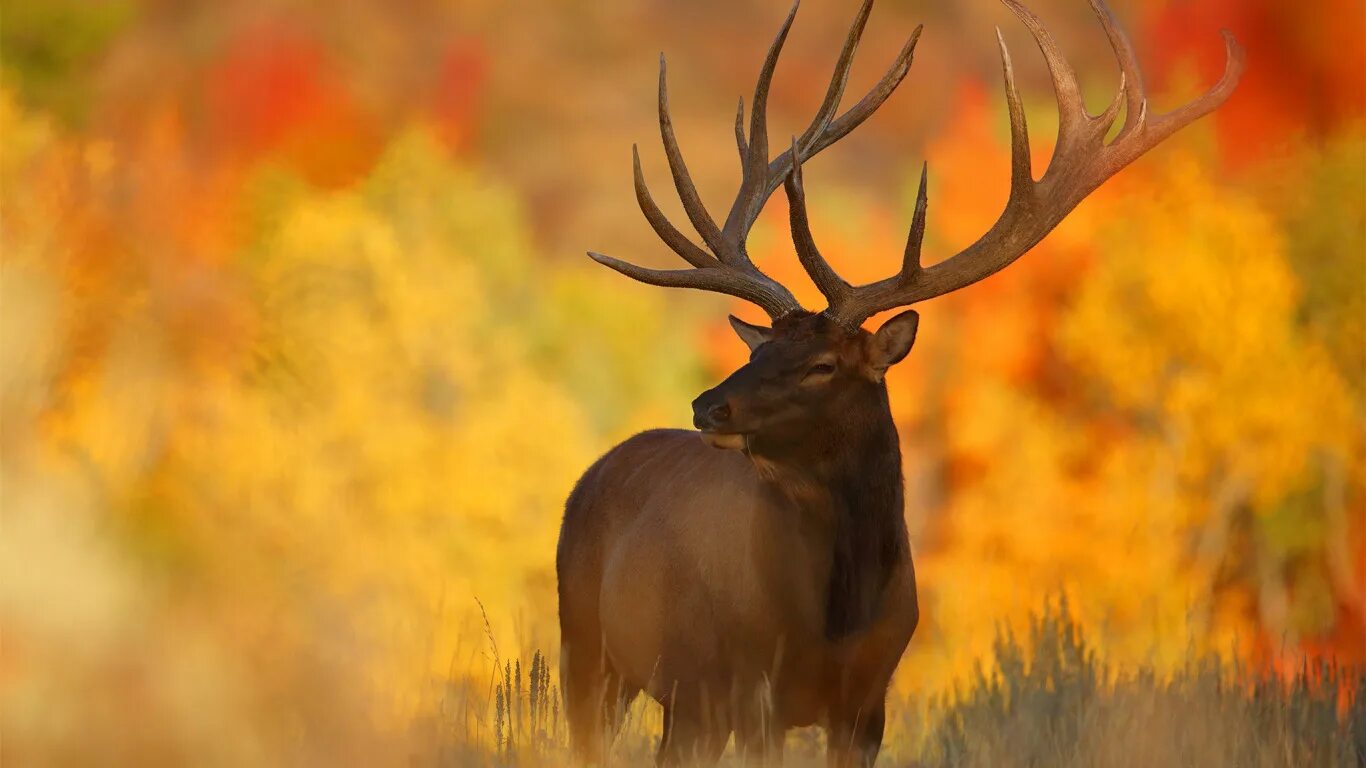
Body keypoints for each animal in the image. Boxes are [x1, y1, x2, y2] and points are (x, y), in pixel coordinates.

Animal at [551, 1, 1240, 759]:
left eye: (823, 366)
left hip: (677, 697)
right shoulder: (748, 691)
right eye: (761, 353)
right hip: (593, 652)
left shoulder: (867, 704)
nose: (709, 406)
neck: (835, 621)